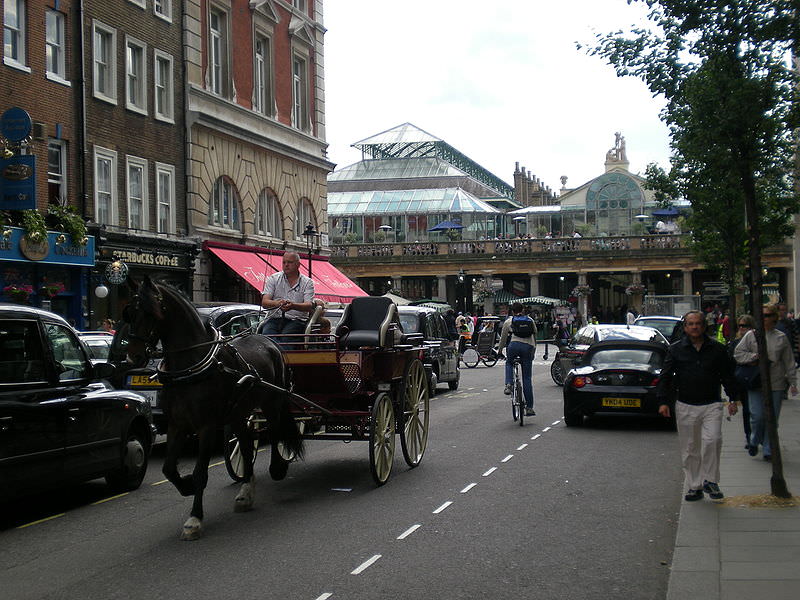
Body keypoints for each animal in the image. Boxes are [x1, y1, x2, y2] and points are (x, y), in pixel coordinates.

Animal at [123, 276, 302, 540]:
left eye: (151, 311)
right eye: (129, 313)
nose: (132, 357)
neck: (190, 366)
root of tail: (268, 341)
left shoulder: (206, 426)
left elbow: (201, 472)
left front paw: (194, 519)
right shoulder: (178, 424)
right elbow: (168, 469)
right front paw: (186, 486)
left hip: (272, 401)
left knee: (275, 430)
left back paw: (277, 467)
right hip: (238, 412)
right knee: (246, 444)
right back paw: (246, 491)